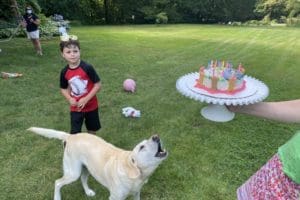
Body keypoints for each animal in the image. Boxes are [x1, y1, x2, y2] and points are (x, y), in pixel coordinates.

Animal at [27, 127, 168, 200]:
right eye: (142, 147)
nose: (156, 136)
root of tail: (70, 136)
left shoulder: (136, 194)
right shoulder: (114, 198)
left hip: (86, 169)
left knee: (83, 179)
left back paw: (88, 192)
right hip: (73, 172)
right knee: (57, 182)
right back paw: (57, 197)